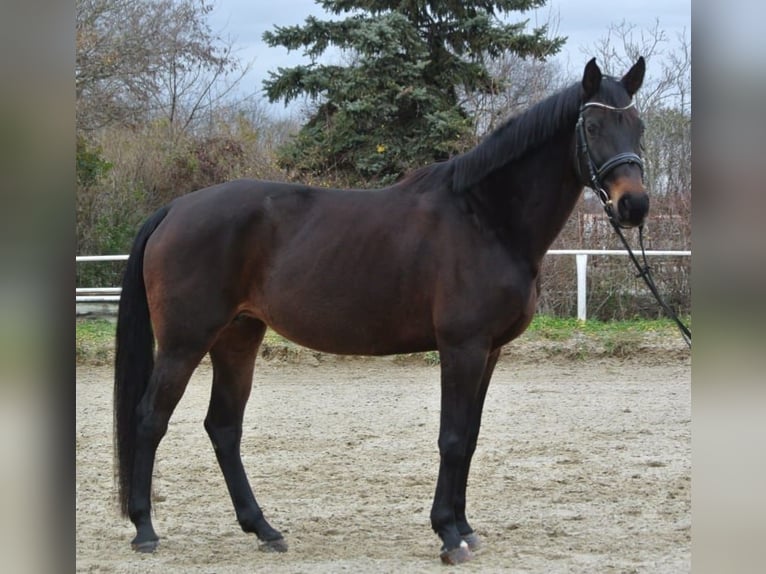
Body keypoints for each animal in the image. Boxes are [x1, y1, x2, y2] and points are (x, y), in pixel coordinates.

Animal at [114, 58, 652, 568]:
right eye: (594, 127)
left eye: (639, 126)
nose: (635, 206)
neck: (485, 218)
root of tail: (174, 210)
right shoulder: (462, 347)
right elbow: (452, 437)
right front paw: (448, 534)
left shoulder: (490, 352)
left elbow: (471, 437)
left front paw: (465, 527)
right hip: (185, 343)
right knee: (149, 419)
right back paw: (145, 530)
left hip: (238, 337)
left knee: (223, 427)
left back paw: (263, 529)